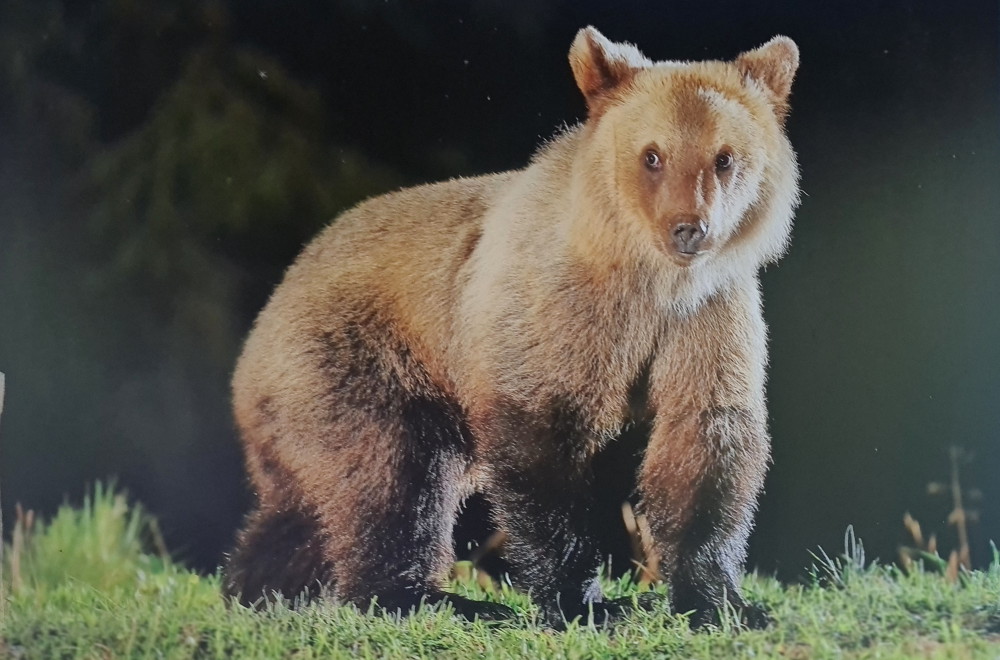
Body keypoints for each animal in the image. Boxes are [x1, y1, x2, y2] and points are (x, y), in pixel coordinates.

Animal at [223, 26, 800, 629]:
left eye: (724, 157)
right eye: (652, 155)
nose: (689, 228)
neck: (648, 278)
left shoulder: (705, 318)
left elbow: (705, 441)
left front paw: (721, 600)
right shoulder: (557, 312)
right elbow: (541, 442)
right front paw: (585, 601)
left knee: (306, 503)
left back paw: (262, 582)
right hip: (355, 359)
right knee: (390, 475)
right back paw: (429, 597)